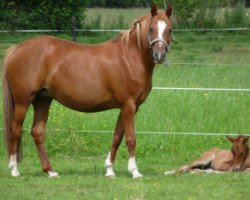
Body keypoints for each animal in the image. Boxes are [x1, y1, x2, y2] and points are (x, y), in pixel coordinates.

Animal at [1, 4, 173, 178]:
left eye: (170, 29)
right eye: (151, 29)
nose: (159, 55)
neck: (129, 57)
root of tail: (16, 49)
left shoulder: (127, 107)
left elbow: (117, 137)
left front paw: (109, 170)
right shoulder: (129, 105)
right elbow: (130, 138)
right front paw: (134, 171)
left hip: (42, 100)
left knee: (37, 132)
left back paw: (50, 171)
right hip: (23, 102)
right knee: (15, 131)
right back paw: (14, 169)